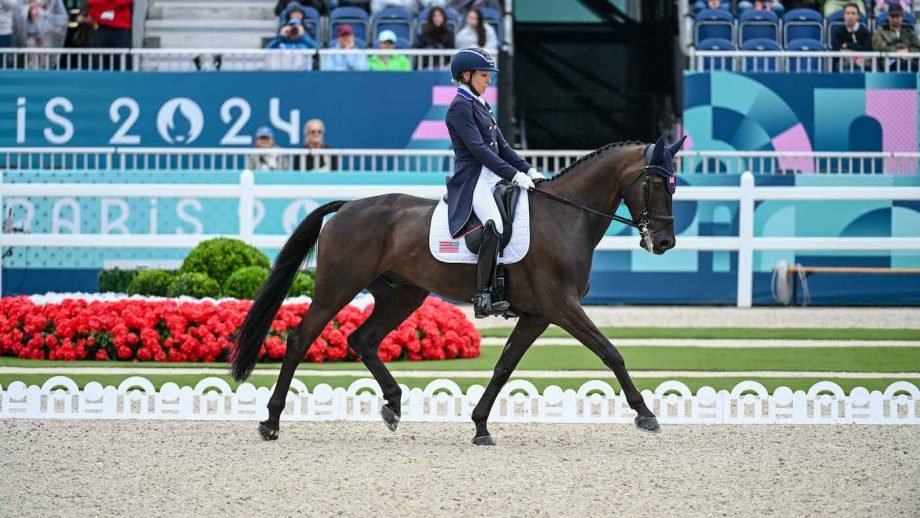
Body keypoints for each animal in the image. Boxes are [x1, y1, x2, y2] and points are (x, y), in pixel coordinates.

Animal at [234, 137, 688, 446]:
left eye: (674, 184)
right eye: (657, 183)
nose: (665, 242)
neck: (565, 217)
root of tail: (346, 206)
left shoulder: (538, 314)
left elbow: (503, 367)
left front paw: (481, 425)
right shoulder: (562, 306)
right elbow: (611, 352)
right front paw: (645, 414)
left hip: (402, 294)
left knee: (362, 339)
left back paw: (393, 405)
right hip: (338, 287)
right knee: (300, 338)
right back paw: (270, 422)